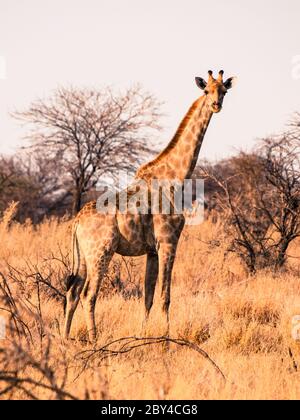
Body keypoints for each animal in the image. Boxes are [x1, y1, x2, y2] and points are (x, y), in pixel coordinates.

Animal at [63, 71, 236, 342]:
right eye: (207, 90)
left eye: (224, 91)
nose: (216, 105)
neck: (176, 176)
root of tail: (77, 221)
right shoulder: (168, 241)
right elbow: (165, 296)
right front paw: (166, 340)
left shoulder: (152, 250)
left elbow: (148, 297)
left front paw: (142, 336)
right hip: (100, 252)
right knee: (88, 294)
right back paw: (94, 339)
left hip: (82, 256)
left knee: (72, 292)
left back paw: (65, 338)